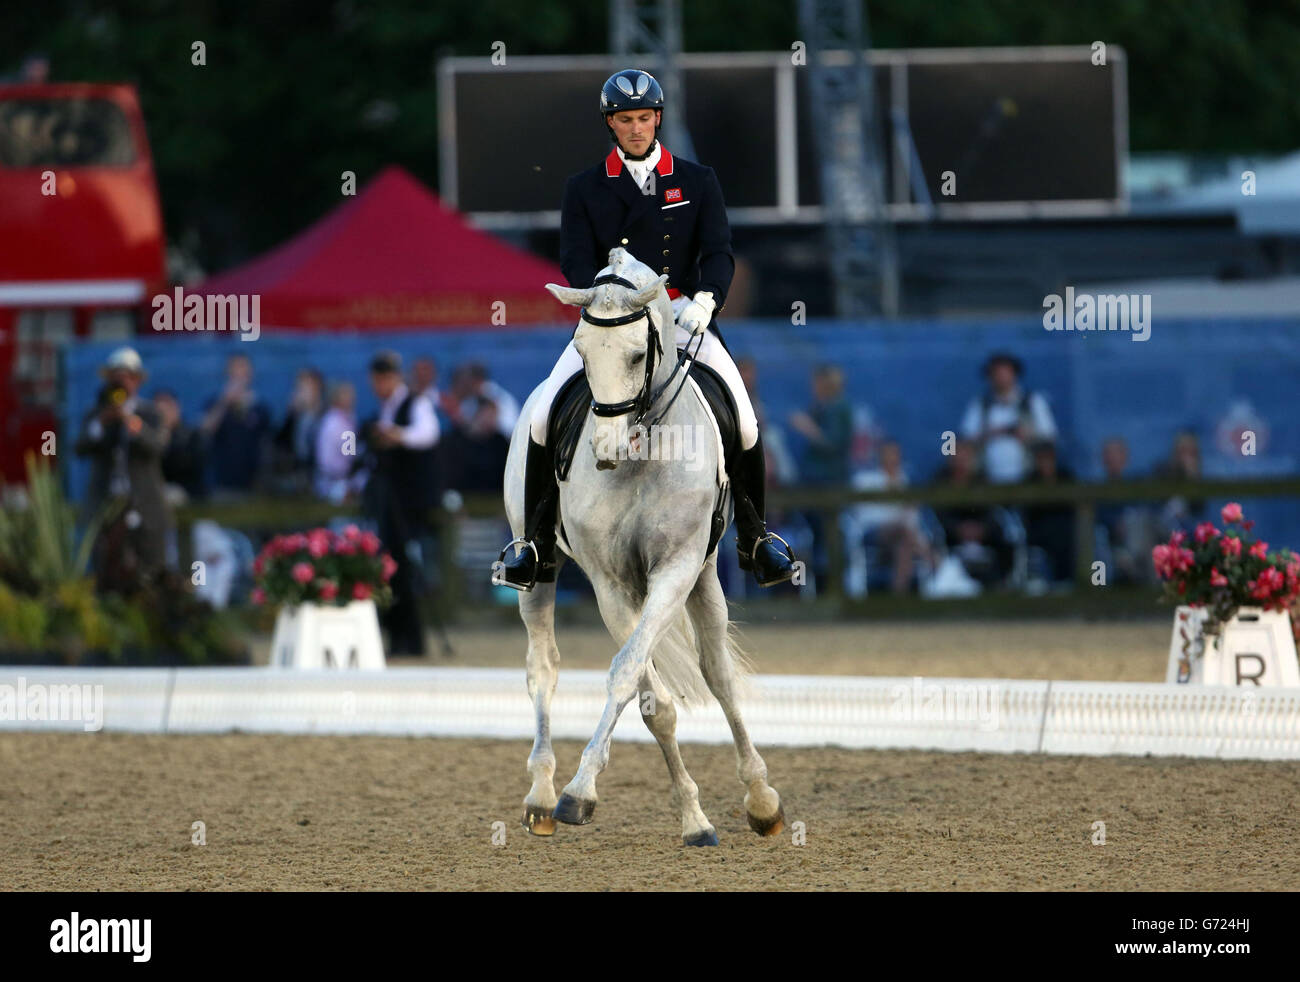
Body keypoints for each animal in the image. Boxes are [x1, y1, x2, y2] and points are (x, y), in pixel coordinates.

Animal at [493, 249, 780, 848]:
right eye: (581, 350)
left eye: (636, 354)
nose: (605, 449)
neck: (645, 455)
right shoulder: (611, 585)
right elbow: (647, 694)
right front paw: (580, 794)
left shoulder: (677, 569)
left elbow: (637, 676)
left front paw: (704, 815)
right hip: (538, 571)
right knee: (542, 669)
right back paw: (541, 795)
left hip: (705, 578)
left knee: (719, 674)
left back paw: (762, 800)